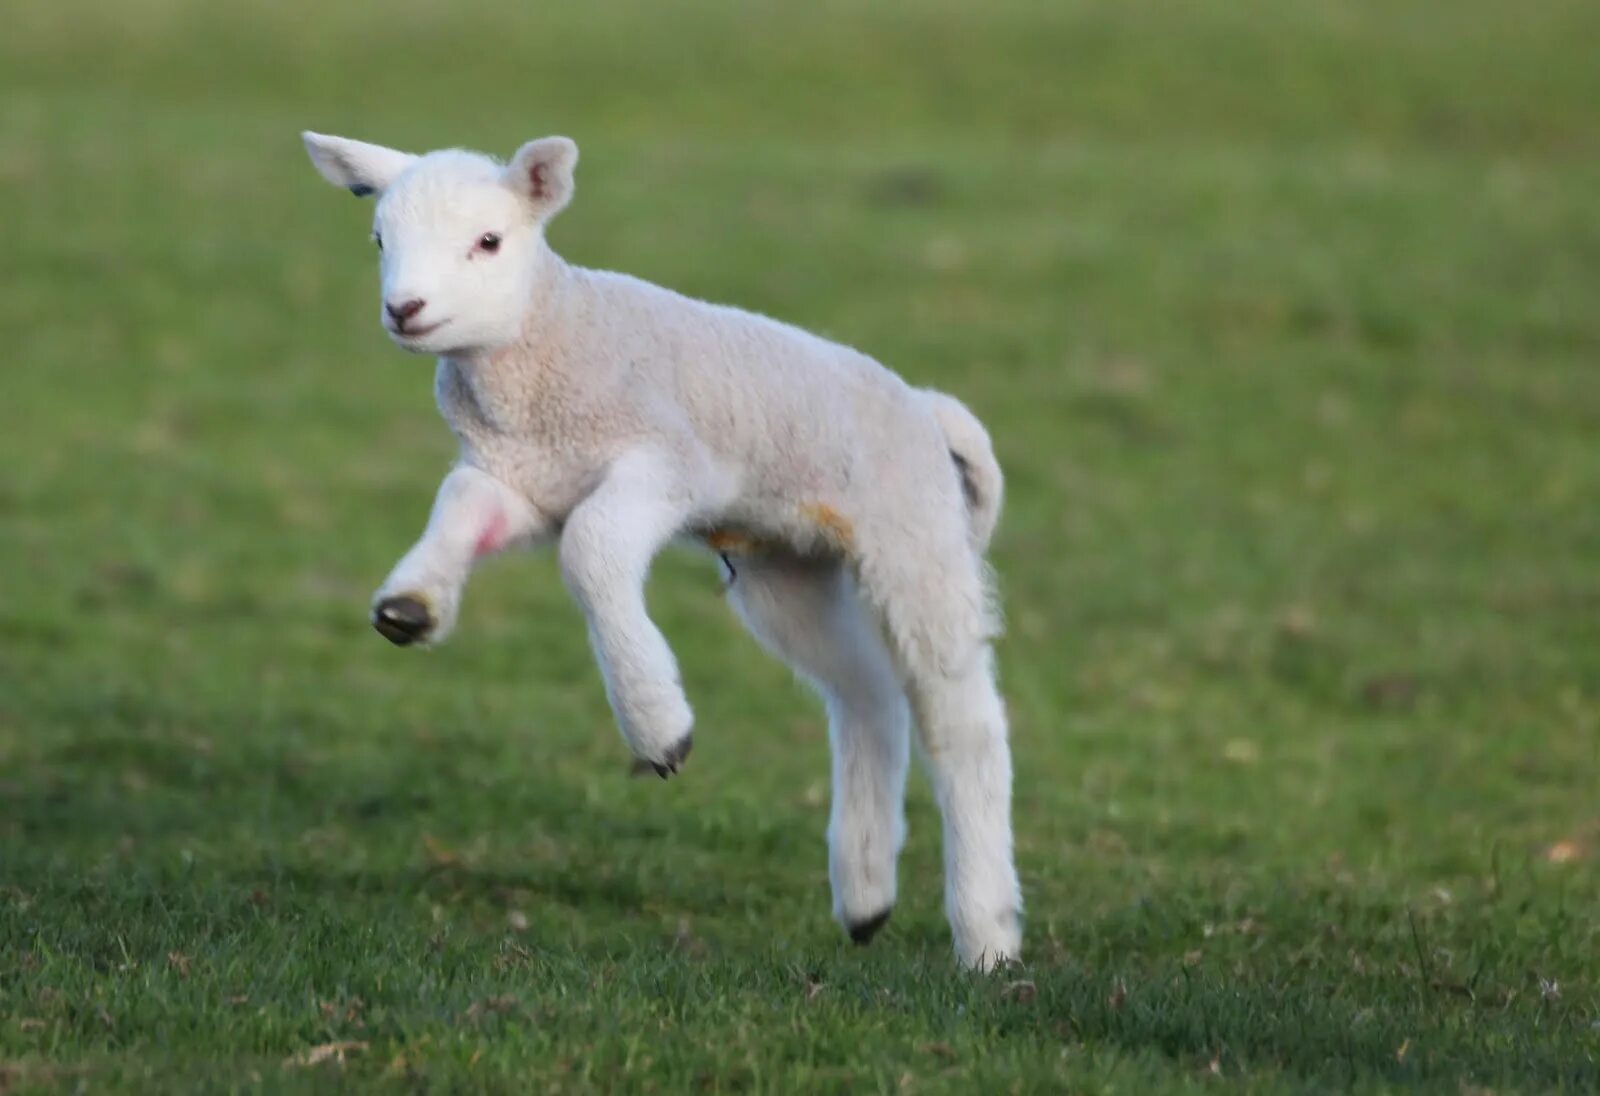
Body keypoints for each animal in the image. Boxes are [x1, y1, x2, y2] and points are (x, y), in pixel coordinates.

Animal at [300, 130, 1024, 966]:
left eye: (489, 241)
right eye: (379, 239)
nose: (405, 309)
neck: (546, 348)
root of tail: (929, 411)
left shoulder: (667, 461)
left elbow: (589, 549)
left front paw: (658, 728)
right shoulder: (521, 480)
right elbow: (460, 507)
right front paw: (411, 607)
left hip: (912, 534)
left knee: (961, 721)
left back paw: (987, 935)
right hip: (787, 569)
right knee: (868, 695)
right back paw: (866, 896)